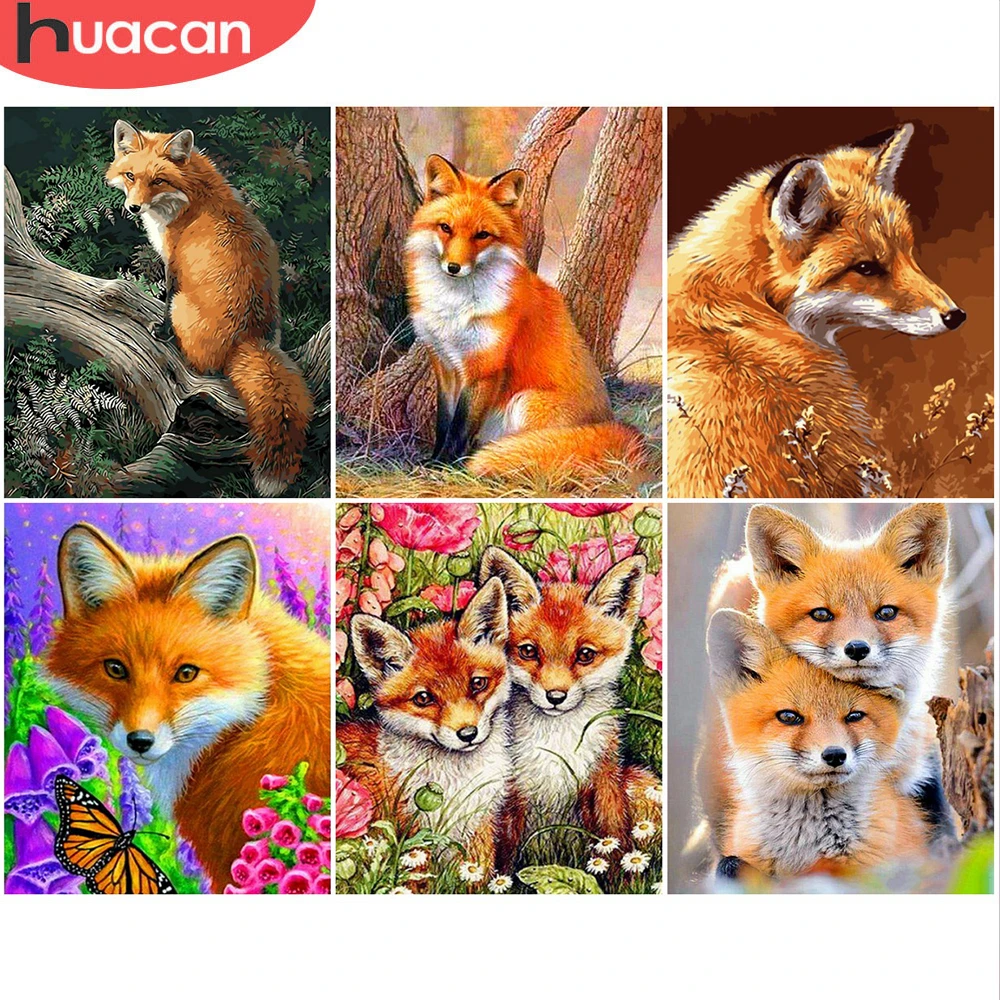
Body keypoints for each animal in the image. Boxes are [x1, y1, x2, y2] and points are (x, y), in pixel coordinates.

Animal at [105, 120, 314, 496]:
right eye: (130, 176)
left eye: (157, 180)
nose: (133, 208)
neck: (193, 194)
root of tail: (249, 339)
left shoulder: (173, 261)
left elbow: (165, 298)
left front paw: (160, 331)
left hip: (184, 307)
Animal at [341, 578, 512, 871]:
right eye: (423, 698)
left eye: (478, 684)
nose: (468, 734)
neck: (457, 782)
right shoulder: (414, 834)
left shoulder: (479, 827)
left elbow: (478, 873)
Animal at [405, 154, 648, 487]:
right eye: (445, 228)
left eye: (482, 235)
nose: (453, 267)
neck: (454, 307)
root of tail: (612, 423)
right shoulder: (444, 364)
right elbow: (444, 423)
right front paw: (434, 459)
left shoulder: (485, 368)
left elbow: (460, 427)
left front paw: (443, 466)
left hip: (526, 402)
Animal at [479, 547, 657, 869]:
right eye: (528, 651)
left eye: (585, 654)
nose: (555, 696)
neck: (557, 745)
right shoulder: (512, 793)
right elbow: (505, 858)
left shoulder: (603, 780)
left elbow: (614, 839)